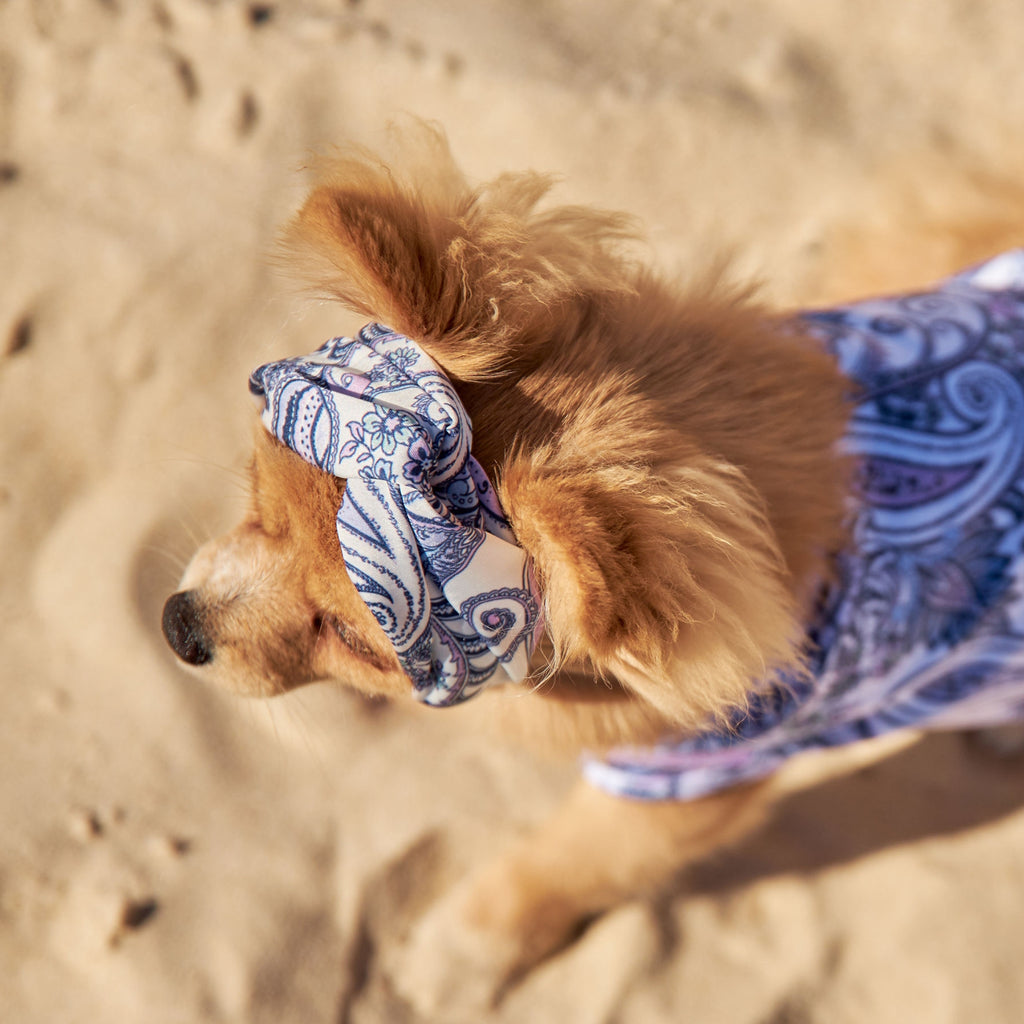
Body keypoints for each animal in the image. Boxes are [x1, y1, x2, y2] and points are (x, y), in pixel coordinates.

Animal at [161, 130, 1024, 1015]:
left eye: (351, 639)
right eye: (258, 500)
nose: (178, 626)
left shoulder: (686, 778)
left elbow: (566, 863)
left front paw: (460, 953)